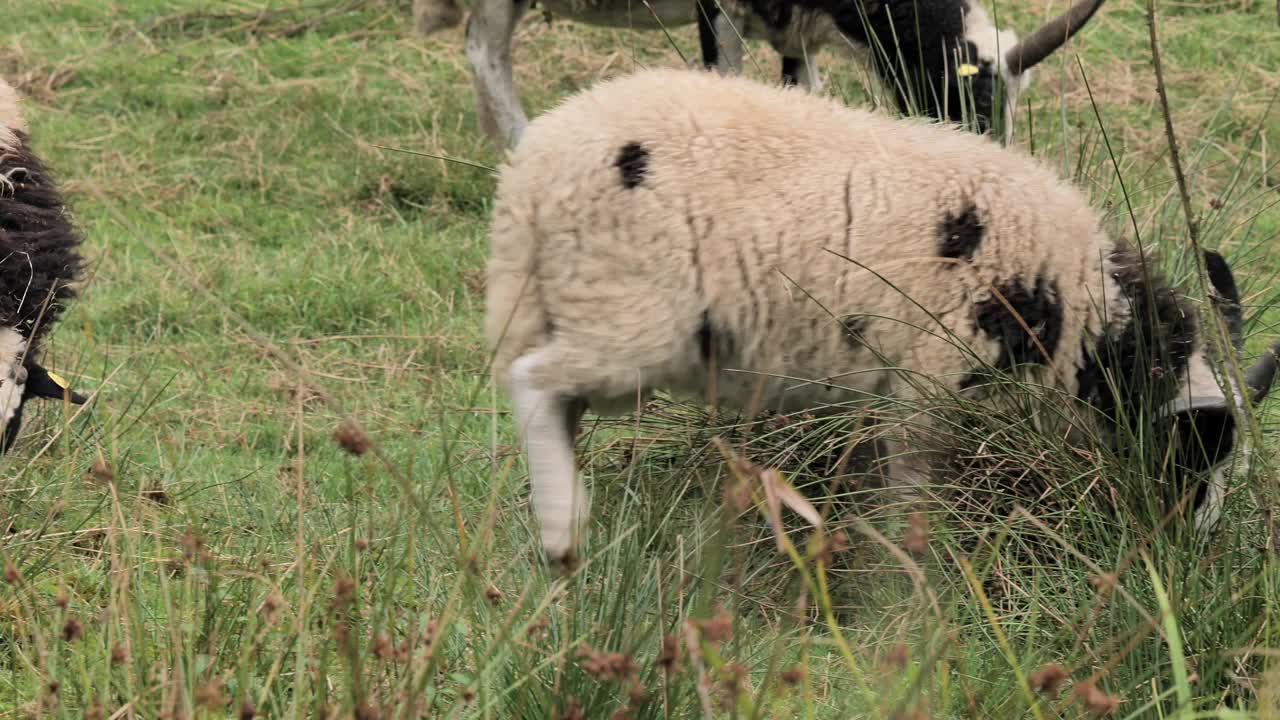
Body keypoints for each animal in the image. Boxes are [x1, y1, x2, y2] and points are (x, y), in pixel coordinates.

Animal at [483, 67, 1280, 561]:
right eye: (1190, 460)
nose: (1185, 554)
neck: (1078, 317)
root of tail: (531, 170)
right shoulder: (924, 393)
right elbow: (914, 501)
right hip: (626, 316)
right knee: (533, 382)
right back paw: (562, 532)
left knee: (556, 403)